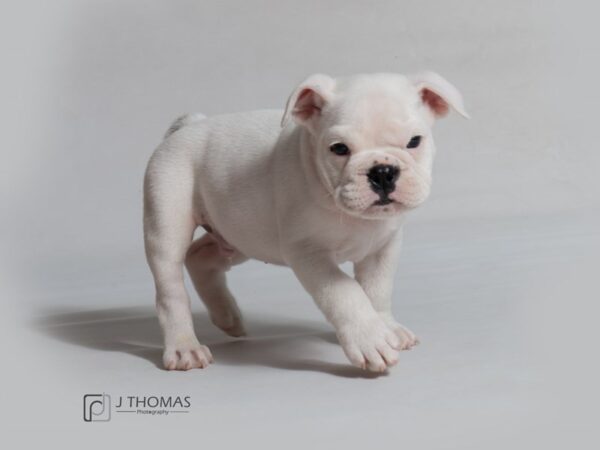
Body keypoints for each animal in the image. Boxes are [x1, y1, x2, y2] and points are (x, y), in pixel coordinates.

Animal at [145, 72, 468, 370]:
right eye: (339, 149)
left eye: (414, 141)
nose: (383, 172)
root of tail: (189, 125)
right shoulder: (309, 254)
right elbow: (345, 292)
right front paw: (370, 338)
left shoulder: (383, 248)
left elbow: (377, 290)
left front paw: (386, 327)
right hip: (168, 221)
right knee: (171, 287)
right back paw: (184, 347)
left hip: (243, 236)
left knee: (201, 256)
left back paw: (227, 317)